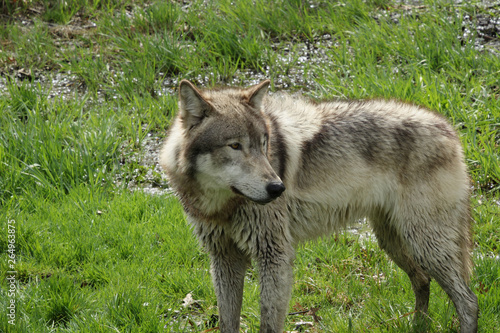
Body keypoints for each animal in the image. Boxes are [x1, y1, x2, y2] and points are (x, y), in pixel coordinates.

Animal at [159, 80, 476, 332]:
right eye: (234, 146)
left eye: (263, 143)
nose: (278, 188)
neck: (221, 206)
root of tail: (449, 129)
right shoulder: (224, 259)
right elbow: (228, 322)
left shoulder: (274, 256)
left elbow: (268, 323)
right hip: (394, 242)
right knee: (422, 281)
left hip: (424, 245)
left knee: (469, 302)